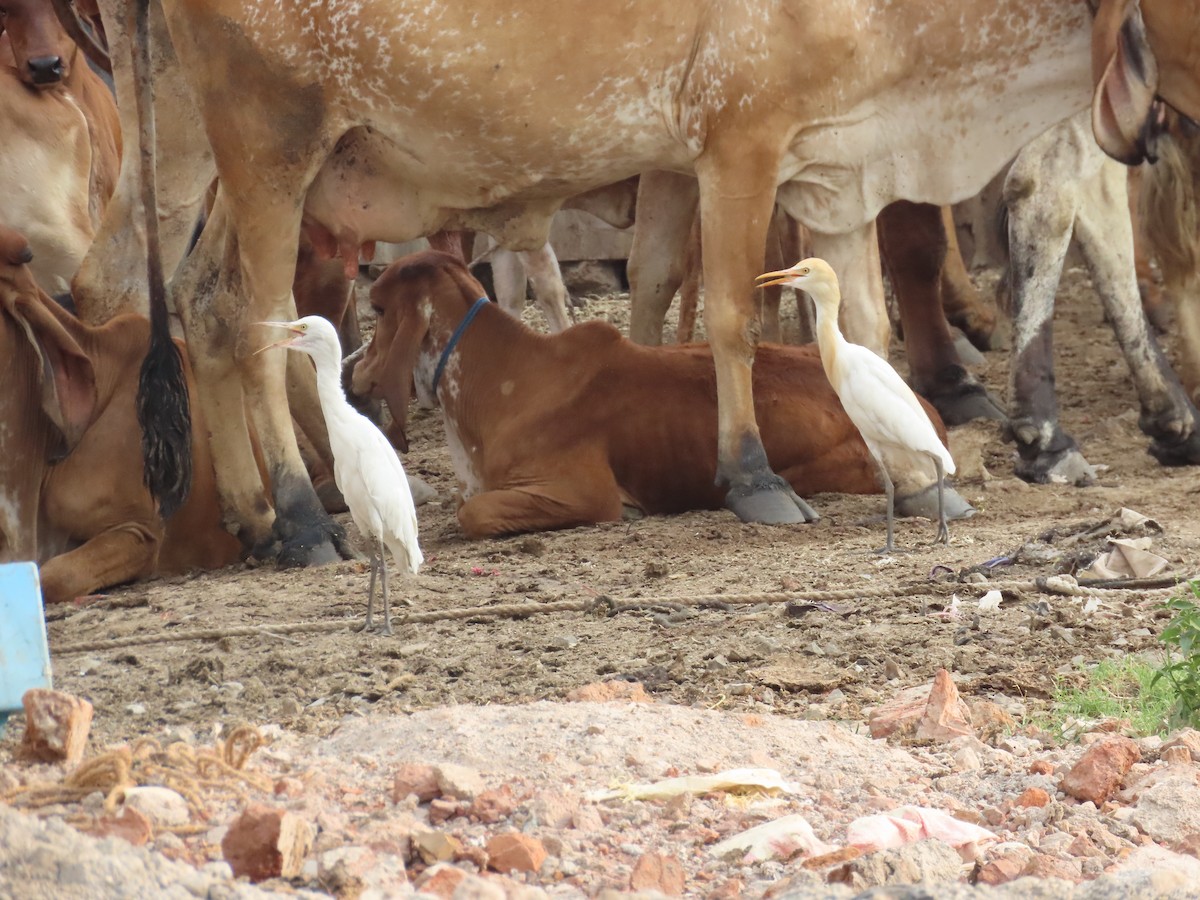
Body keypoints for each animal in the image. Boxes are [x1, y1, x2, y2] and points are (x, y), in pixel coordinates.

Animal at [355, 250, 974, 540]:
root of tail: (929, 415)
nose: (356, 370)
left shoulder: (581, 492)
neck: (499, 378)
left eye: (378, 310)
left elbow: (473, 512)